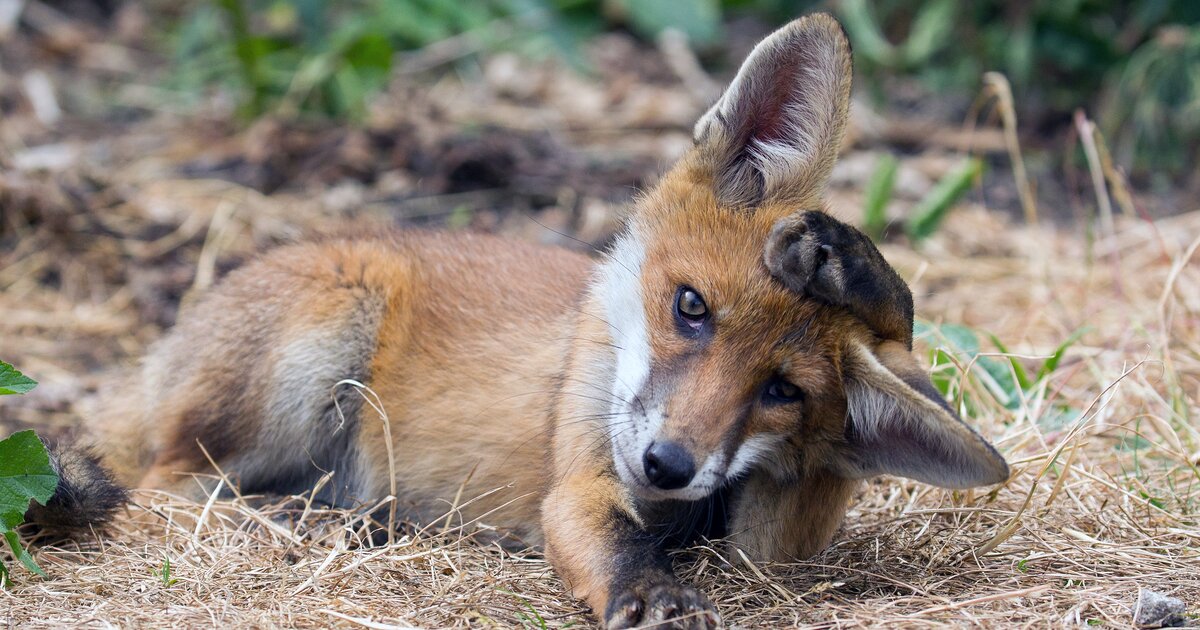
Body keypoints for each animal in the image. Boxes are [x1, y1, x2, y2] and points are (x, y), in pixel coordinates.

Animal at [23, 12, 1008, 624]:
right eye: (690, 308)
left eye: (783, 392)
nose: (669, 465)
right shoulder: (578, 481)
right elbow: (616, 545)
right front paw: (656, 597)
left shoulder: (778, 536)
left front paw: (856, 269)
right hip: (317, 342)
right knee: (162, 495)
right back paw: (306, 523)